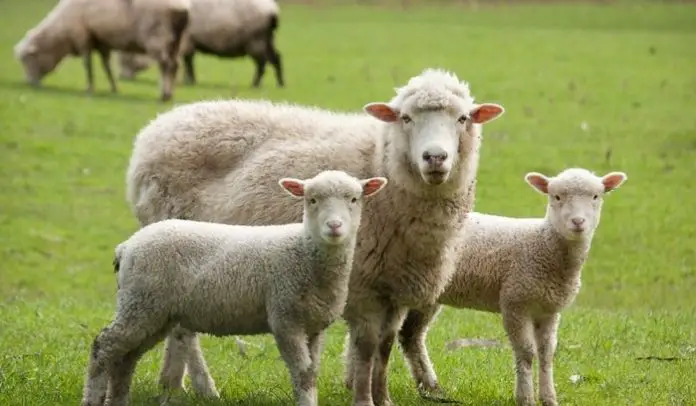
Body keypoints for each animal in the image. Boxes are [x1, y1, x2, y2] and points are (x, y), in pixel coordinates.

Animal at [13, 0, 190, 102]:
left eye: (28, 58)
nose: (30, 83)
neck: (61, 34)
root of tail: (182, 8)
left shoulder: (83, 38)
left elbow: (87, 65)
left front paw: (89, 88)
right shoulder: (101, 42)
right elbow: (107, 66)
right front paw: (114, 88)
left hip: (157, 38)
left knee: (166, 65)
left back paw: (164, 94)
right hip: (176, 41)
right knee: (175, 65)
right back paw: (170, 93)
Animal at [81, 170, 389, 406]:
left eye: (354, 199)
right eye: (311, 200)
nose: (334, 227)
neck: (304, 251)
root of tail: (127, 246)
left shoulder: (313, 325)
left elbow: (311, 373)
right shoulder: (285, 319)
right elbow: (301, 373)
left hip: (152, 312)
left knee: (126, 356)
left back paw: (118, 400)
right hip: (141, 302)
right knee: (104, 346)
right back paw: (92, 399)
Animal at [117, 0, 284, 88]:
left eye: (128, 56)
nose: (123, 77)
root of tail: (272, 9)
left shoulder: (186, 41)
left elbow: (187, 61)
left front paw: (188, 80)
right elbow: (188, 61)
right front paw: (187, 79)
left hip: (256, 41)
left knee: (262, 63)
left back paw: (256, 84)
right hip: (267, 39)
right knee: (276, 58)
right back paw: (280, 83)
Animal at [125, 68, 505, 406]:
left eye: (463, 118)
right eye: (406, 118)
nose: (435, 157)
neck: (380, 162)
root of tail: (157, 127)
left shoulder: (395, 285)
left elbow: (384, 347)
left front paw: (382, 397)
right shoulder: (363, 285)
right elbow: (367, 346)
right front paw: (363, 396)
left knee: (177, 324)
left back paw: (172, 385)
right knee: (185, 332)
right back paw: (203, 388)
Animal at [395, 168, 628, 406]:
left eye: (596, 196)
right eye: (556, 197)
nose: (578, 222)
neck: (543, 244)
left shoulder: (549, 310)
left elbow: (546, 353)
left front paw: (549, 398)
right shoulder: (515, 303)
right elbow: (526, 352)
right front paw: (525, 397)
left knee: (411, 336)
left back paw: (431, 389)